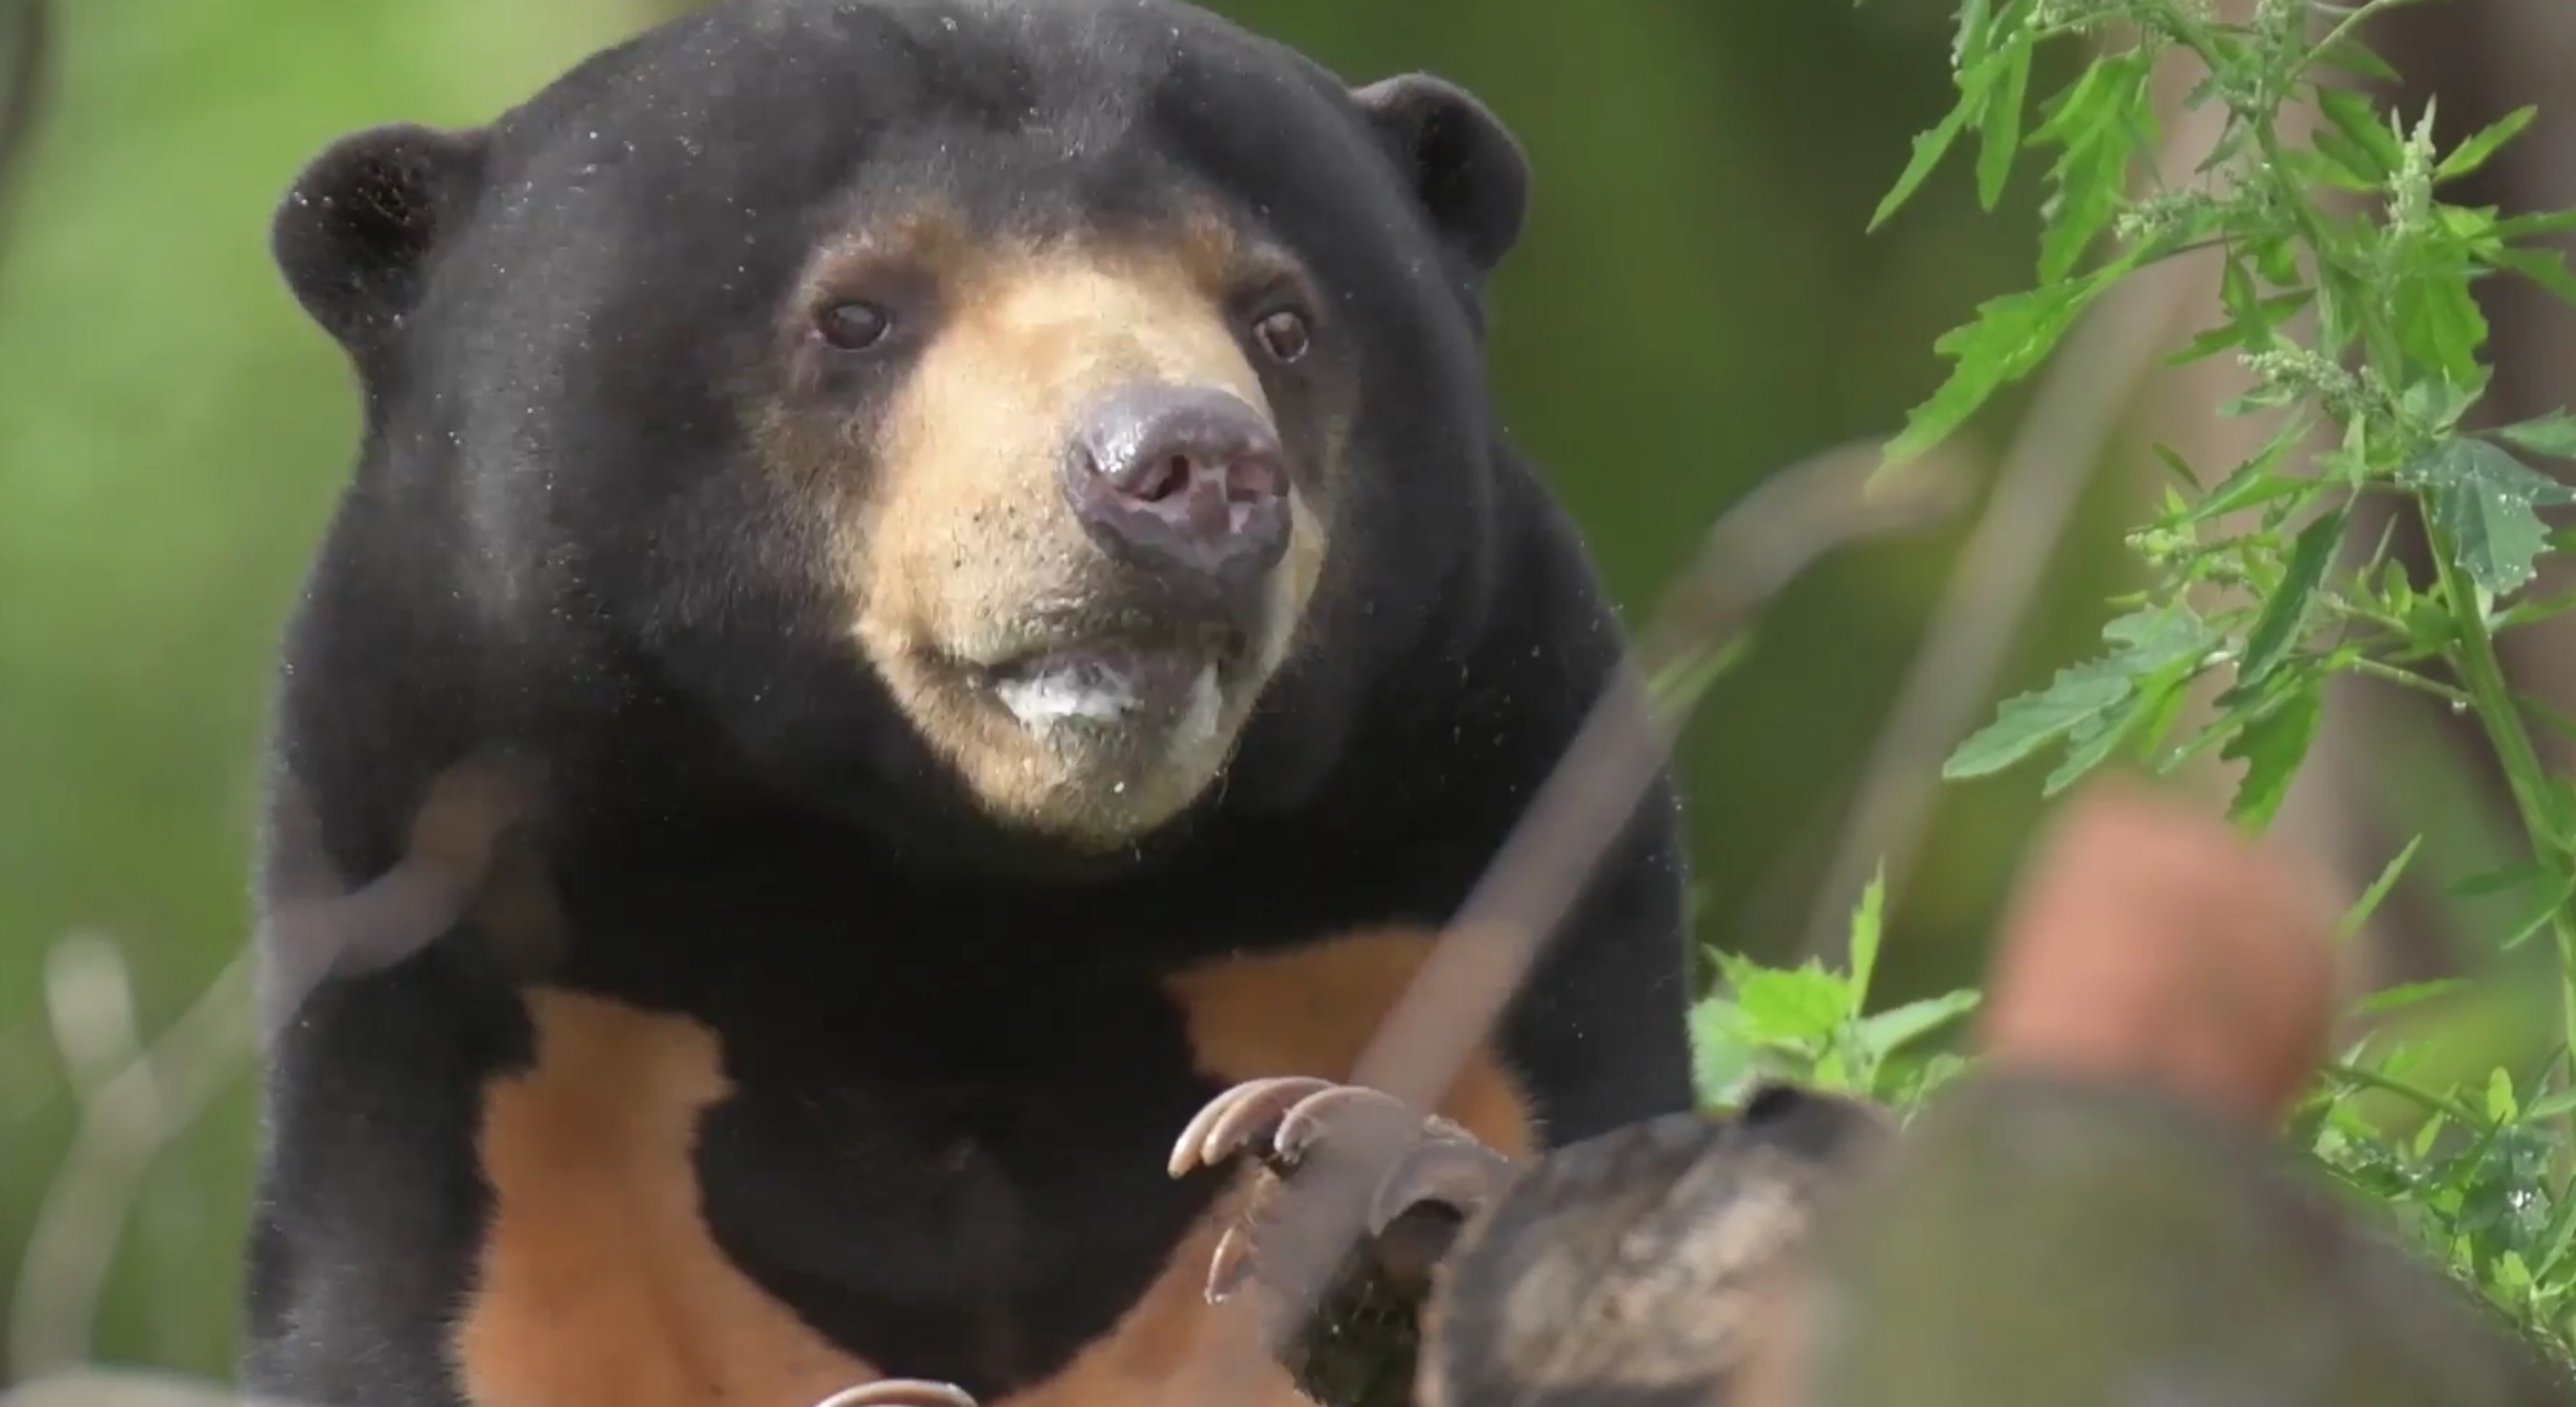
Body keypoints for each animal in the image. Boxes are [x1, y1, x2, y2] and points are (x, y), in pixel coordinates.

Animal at [236, 2, 1690, 1401]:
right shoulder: (489, 1035)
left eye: (1280, 320)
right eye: (856, 313)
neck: (957, 922)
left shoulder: (1466, 856)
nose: (1191, 468)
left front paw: (1372, 1181)